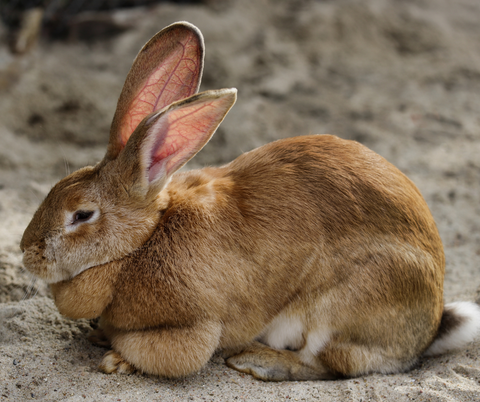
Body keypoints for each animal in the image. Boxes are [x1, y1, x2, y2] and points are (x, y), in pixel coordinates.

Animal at [19, 21, 480, 380]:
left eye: (82, 214)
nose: (27, 253)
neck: (139, 244)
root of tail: (428, 326)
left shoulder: (195, 328)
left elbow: (167, 355)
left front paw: (117, 360)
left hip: (346, 304)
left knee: (330, 363)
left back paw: (259, 362)